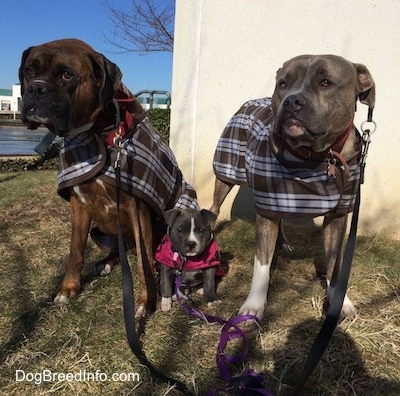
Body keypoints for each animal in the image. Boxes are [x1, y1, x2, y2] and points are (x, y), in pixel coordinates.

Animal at [18, 38, 198, 316]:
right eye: (29, 70)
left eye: (67, 75)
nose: (36, 89)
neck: (96, 133)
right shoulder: (78, 206)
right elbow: (75, 250)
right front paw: (67, 288)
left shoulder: (137, 208)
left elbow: (143, 260)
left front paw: (145, 301)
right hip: (100, 230)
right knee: (118, 250)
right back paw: (106, 262)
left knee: (148, 255)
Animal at [212, 54, 376, 322]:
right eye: (283, 84)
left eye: (325, 82)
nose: (292, 101)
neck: (315, 157)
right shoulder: (267, 209)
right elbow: (262, 265)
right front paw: (253, 306)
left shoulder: (338, 216)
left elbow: (335, 264)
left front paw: (340, 303)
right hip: (225, 175)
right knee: (214, 207)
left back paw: (285, 243)